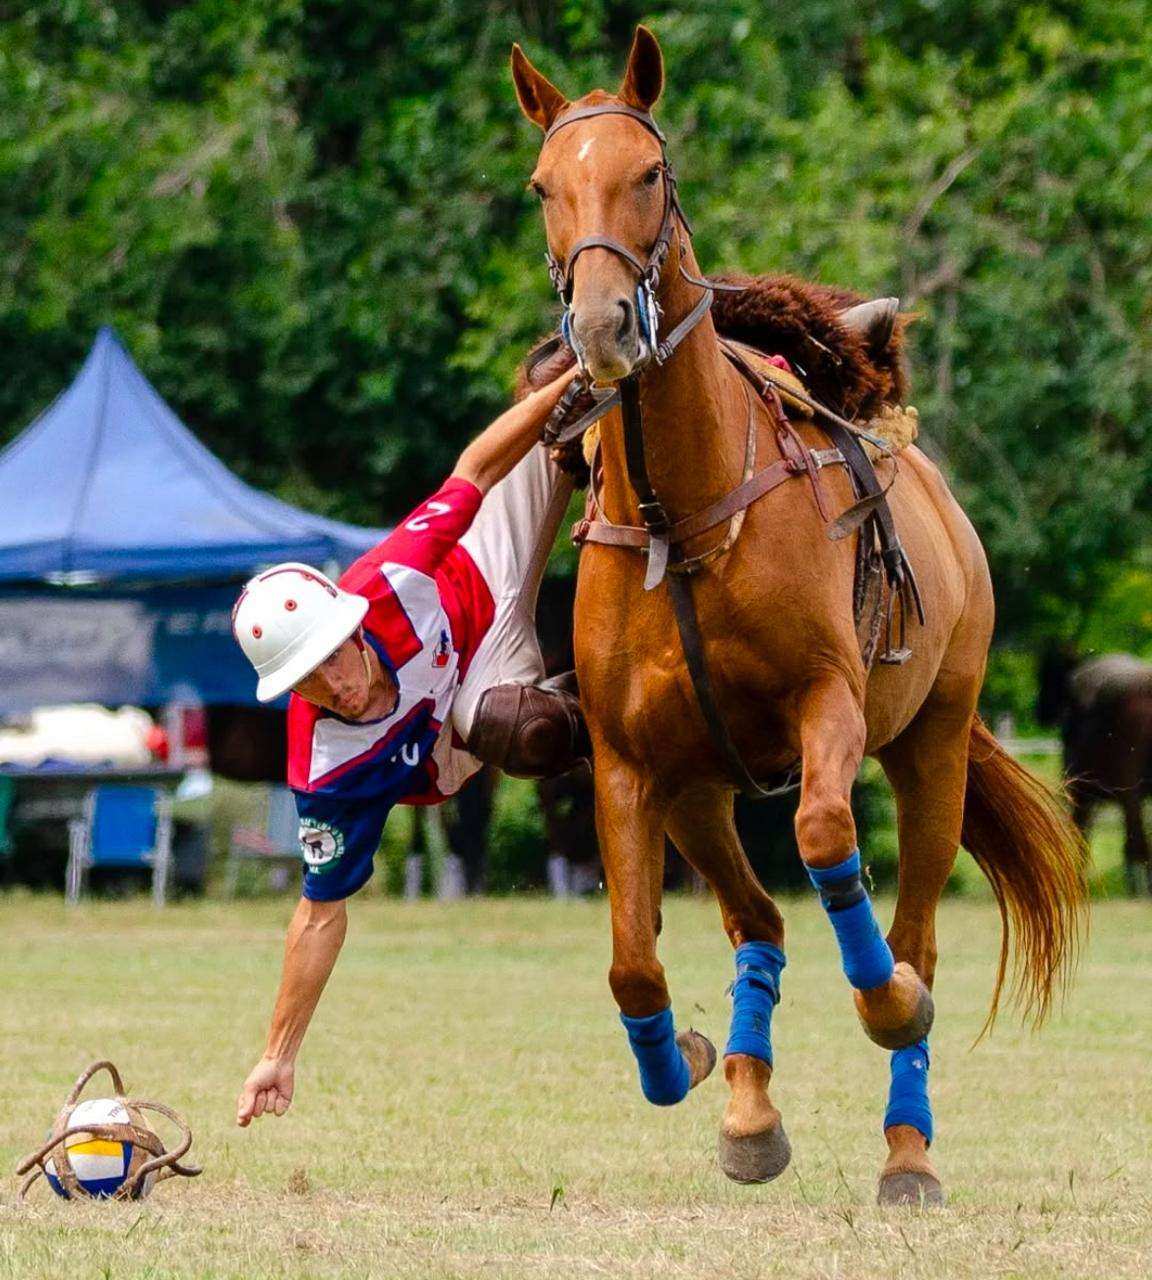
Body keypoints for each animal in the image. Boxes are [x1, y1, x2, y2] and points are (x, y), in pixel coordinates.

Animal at [512, 30, 1090, 1208]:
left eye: (651, 173)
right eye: (544, 185)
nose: (600, 325)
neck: (684, 511)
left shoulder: (832, 707)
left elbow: (829, 842)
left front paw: (886, 1006)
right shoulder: (632, 763)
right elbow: (631, 960)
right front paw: (682, 1062)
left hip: (933, 743)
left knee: (910, 929)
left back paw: (908, 1141)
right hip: (702, 789)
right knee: (761, 921)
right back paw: (747, 1108)